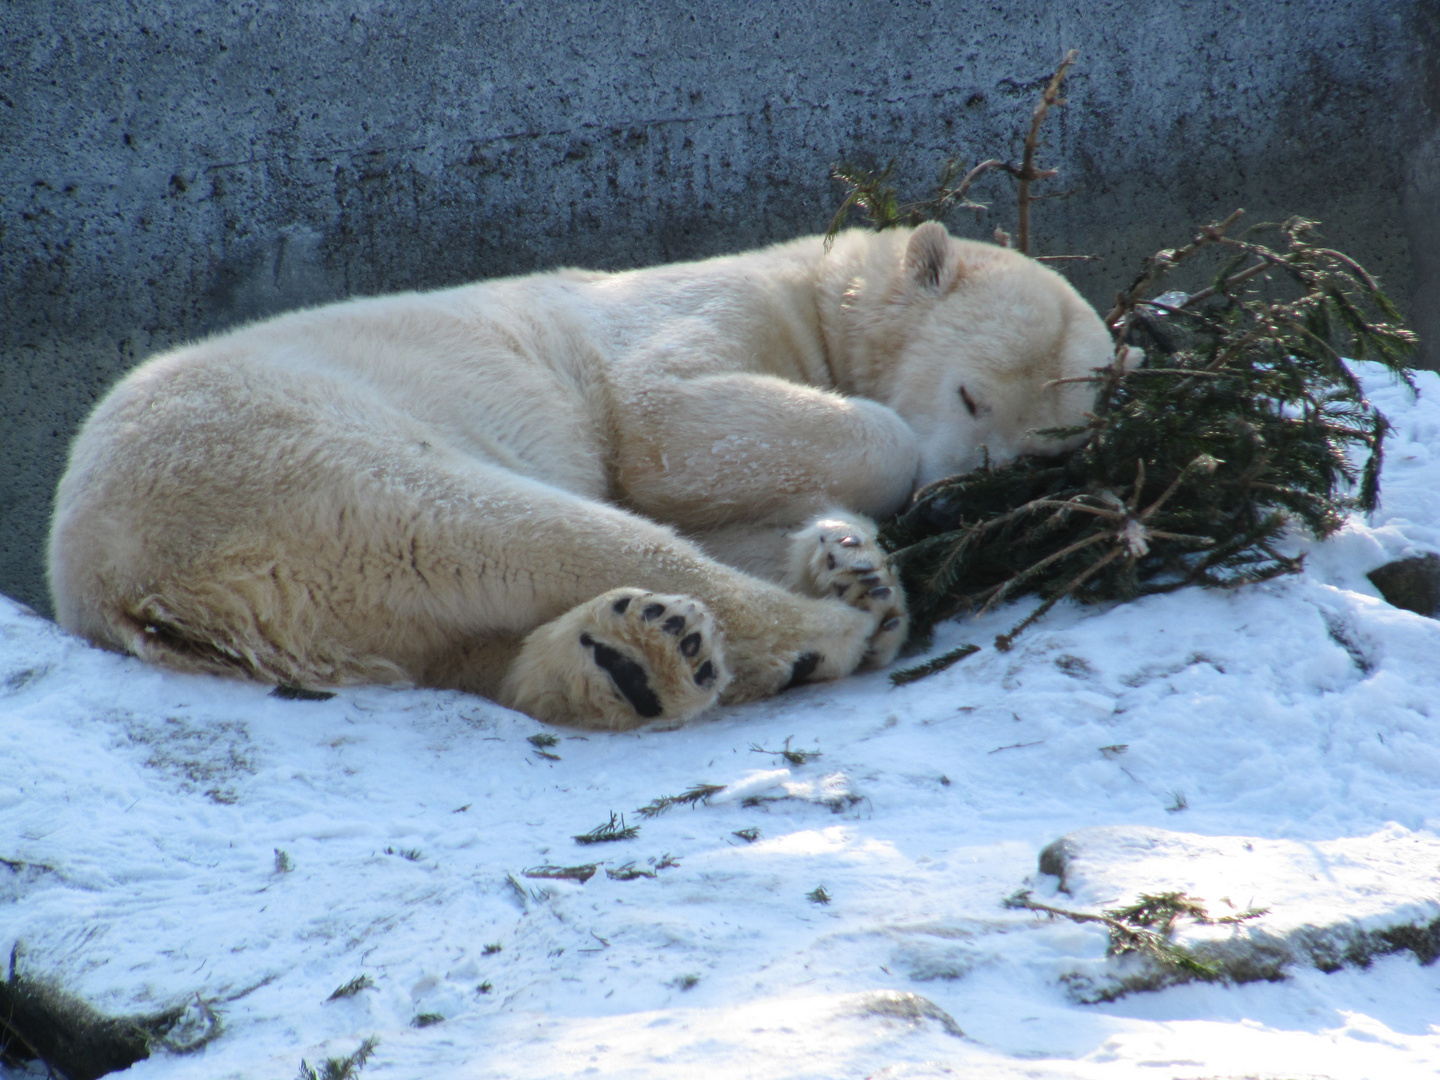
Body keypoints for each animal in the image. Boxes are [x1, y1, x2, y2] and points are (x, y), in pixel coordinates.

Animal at [50, 221, 1117, 728]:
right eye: (971, 396)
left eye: (1048, 450)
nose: (958, 497)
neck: (816, 287)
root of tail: (116, 581)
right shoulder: (701, 312)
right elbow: (663, 427)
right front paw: (849, 549)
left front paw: (840, 551)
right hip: (294, 455)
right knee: (521, 527)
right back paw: (820, 631)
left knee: (467, 638)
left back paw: (640, 655)